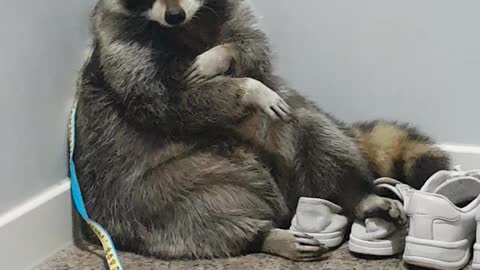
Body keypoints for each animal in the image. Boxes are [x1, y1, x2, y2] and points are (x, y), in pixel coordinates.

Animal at [75, 0, 450, 262]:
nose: (174, 15)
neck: (186, 26)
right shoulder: (124, 46)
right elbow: (167, 101)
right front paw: (247, 89)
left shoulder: (233, 14)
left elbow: (254, 46)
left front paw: (225, 59)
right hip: (143, 194)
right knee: (192, 214)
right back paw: (261, 235)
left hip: (287, 144)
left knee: (312, 131)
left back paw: (356, 194)